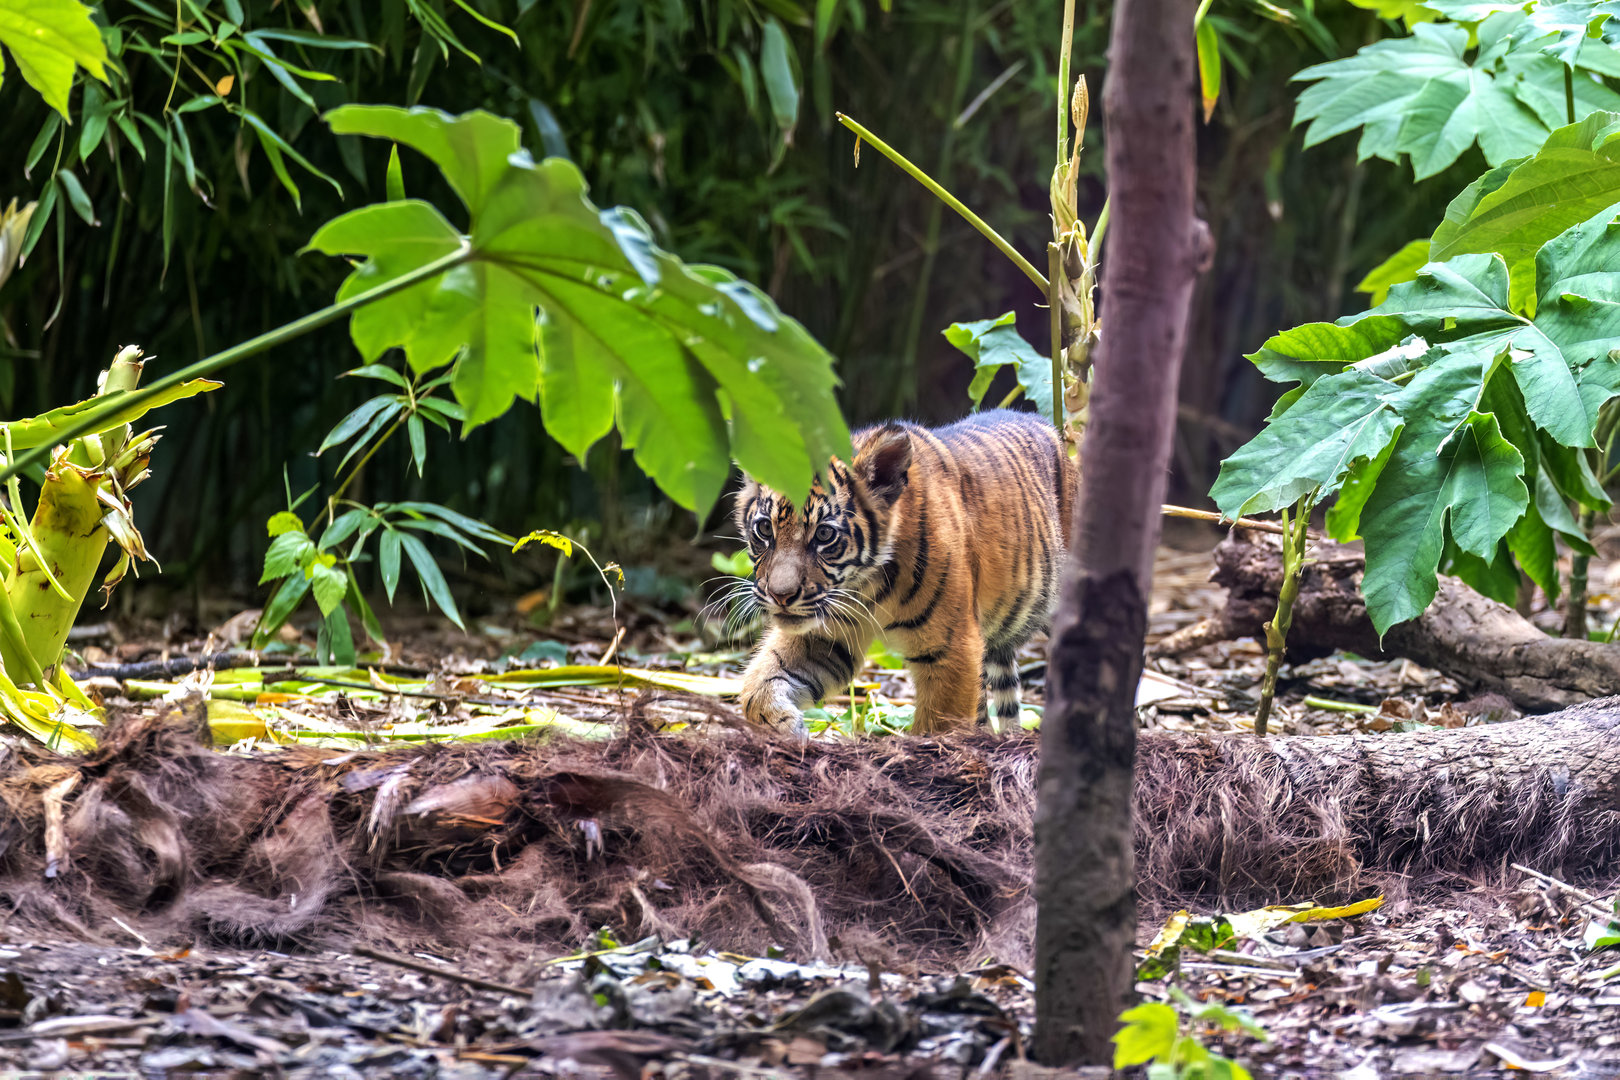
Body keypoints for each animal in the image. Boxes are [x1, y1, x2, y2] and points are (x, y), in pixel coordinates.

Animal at [733, 408, 1077, 736]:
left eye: (824, 535)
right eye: (765, 529)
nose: (781, 596)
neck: (865, 586)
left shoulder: (951, 649)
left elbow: (938, 729)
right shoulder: (824, 635)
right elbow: (757, 686)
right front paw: (785, 726)